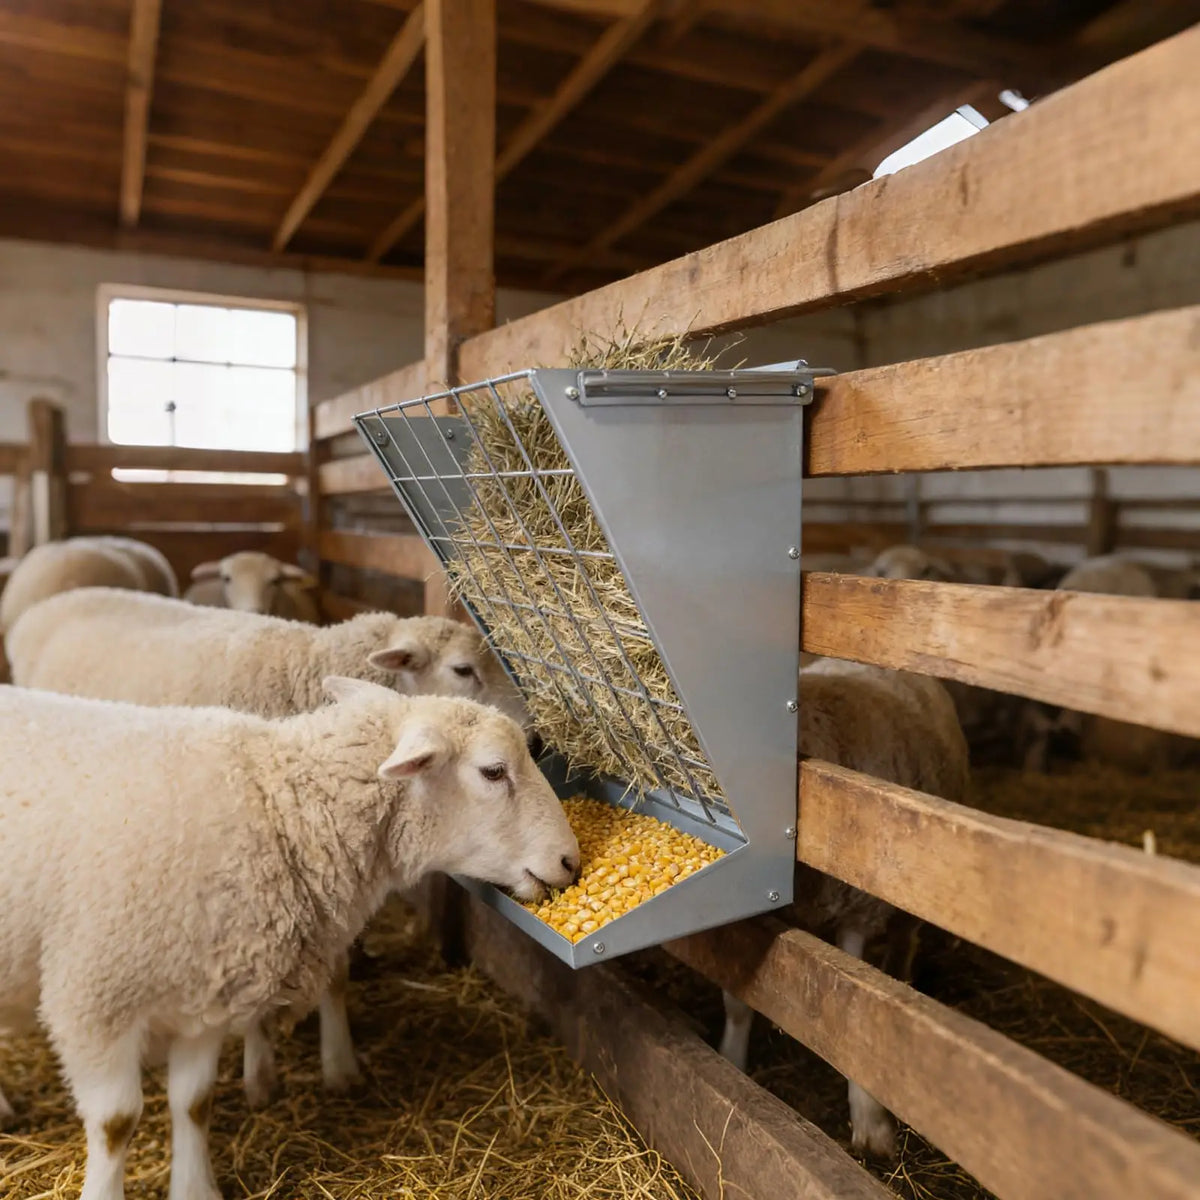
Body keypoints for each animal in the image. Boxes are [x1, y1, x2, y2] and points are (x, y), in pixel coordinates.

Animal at [0, 677, 578, 1200]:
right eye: (493, 771)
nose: (570, 860)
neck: (277, 806)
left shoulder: (205, 997)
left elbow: (194, 1102)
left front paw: (197, 1190)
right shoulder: (93, 999)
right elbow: (117, 1123)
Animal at [8, 586, 532, 1105]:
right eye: (463, 670)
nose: (537, 737)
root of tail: (56, 599)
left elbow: (334, 974)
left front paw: (339, 1064)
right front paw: (260, 1074)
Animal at [719, 657, 969, 1159]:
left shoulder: (858, 912)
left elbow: (854, 1016)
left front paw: (872, 1124)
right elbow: (738, 1000)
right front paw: (731, 1062)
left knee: (903, 943)